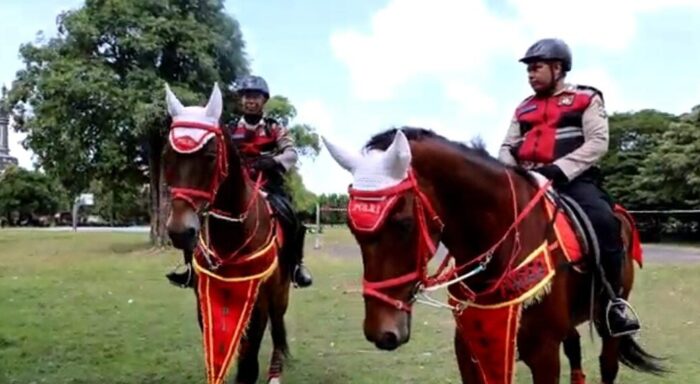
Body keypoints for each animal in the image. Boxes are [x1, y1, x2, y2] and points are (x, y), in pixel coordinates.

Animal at [161, 83, 292, 384]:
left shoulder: (260, 302)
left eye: (210, 156)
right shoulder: (204, 300)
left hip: (281, 294)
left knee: (278, 329)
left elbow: (248, 364)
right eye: (167, 156)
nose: (180, 231)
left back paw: (275, 372)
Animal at [320, 127, 664, 382]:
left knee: (608, 362)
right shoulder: (470, 346)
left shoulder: (543, 353)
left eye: (403, 223)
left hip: (609, 318)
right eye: (351, 227)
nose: (382, 332)